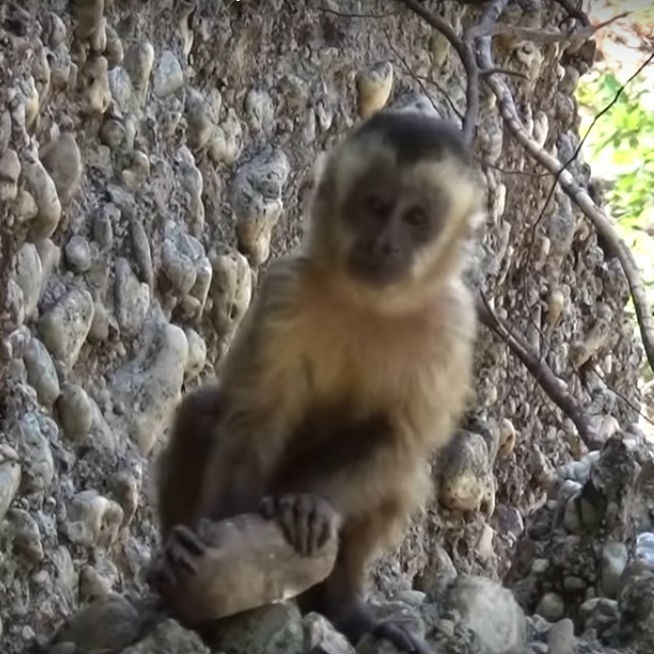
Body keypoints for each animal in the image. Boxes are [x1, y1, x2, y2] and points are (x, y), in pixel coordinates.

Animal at [151, 110, 484, 652]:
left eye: (417, 218)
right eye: (376, 206)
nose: (385, 243)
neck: (372, 306)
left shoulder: (453, 326)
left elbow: (399, 438)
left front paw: (309, 505)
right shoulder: (287, 289)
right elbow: (255, 423)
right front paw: (216, 554)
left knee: (402, 476)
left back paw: (342, 606)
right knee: (204, 414)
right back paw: (174, 559)